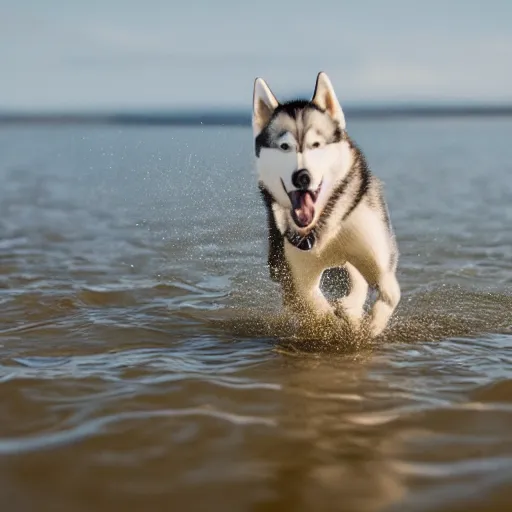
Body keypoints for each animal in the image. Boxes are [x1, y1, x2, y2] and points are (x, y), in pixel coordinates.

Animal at [252, 71, 400, 336]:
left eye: (316, 145)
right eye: (285, 147)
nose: (302, 176)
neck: (323, 225)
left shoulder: (379, 256)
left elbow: (390, 293)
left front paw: (370, 325)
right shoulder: (296, 276)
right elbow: (313, 307)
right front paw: (335, 323)